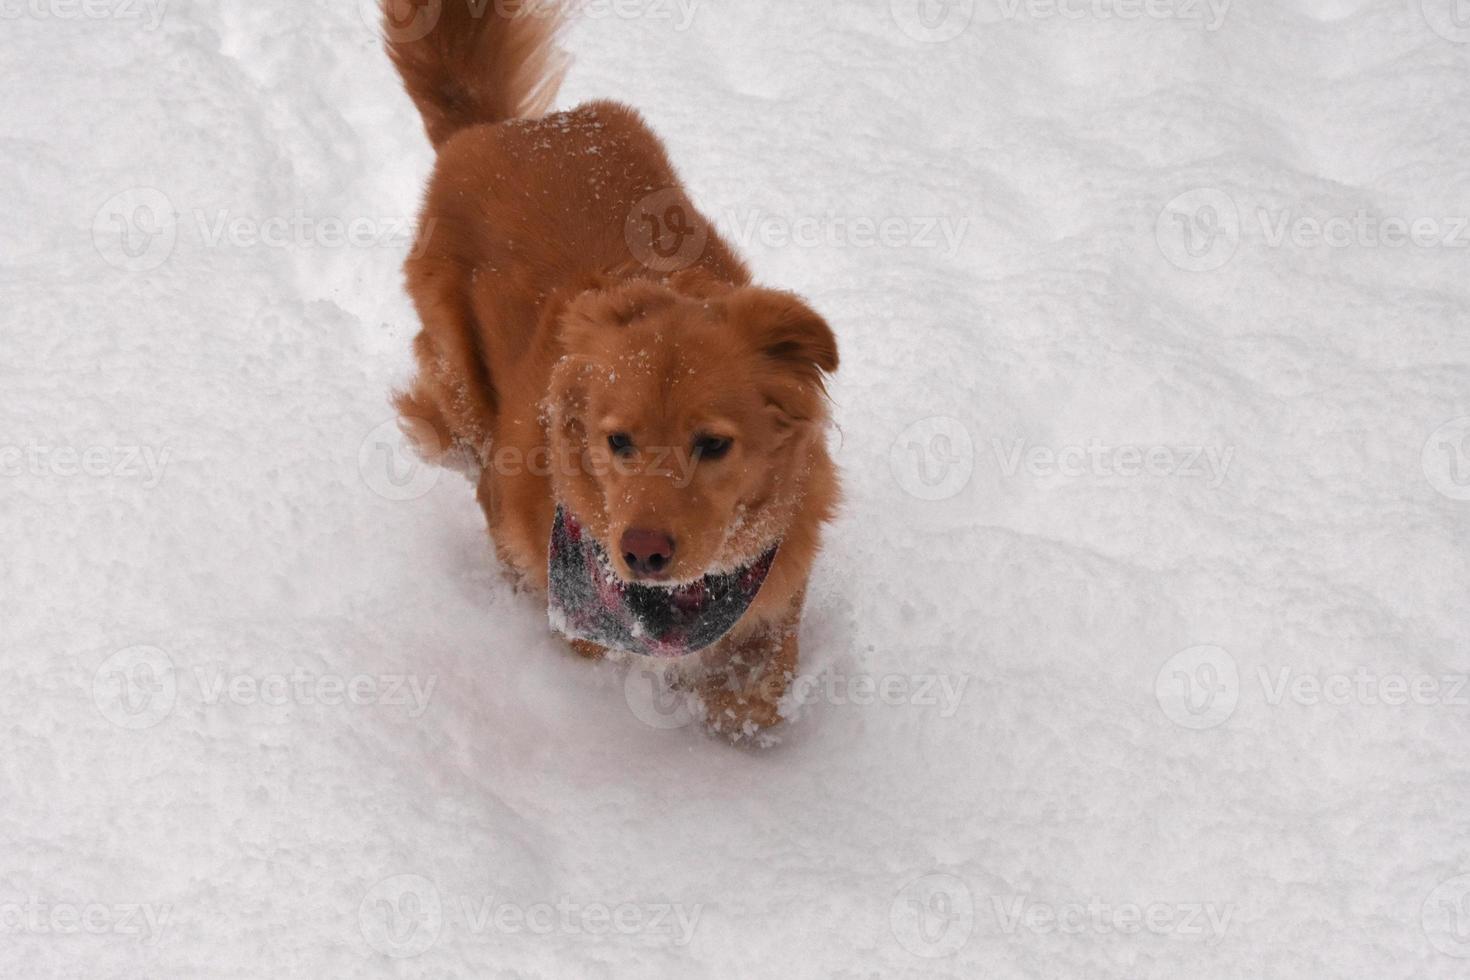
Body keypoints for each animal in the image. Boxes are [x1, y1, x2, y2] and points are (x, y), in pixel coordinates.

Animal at [379, 0, 840, 734]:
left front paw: (737, 702)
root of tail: (499, 129)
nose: (643, 552)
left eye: (714, 445)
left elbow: (762, 676)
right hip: (463, 386)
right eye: (617, 442)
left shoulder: (783, 552)